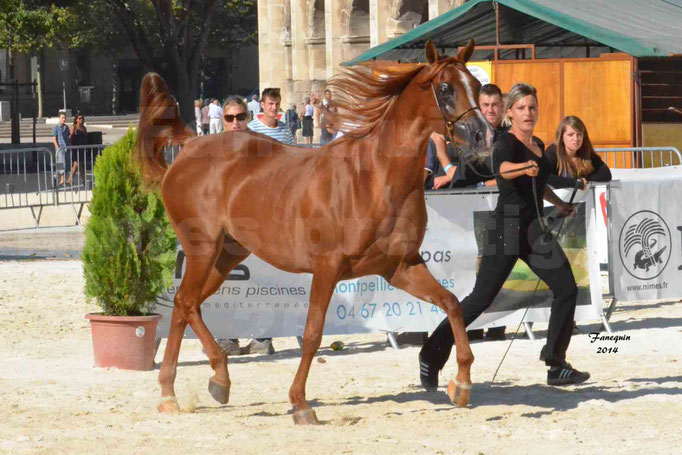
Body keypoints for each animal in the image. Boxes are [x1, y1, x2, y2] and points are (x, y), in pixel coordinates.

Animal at [135, 39, 492, 424]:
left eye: (475, 83)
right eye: (445, 88)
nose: (483, 135)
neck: (375, 178)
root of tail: (189, 146)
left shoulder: (400, 267)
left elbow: (453, 304)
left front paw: (461, 384)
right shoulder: (327, 268)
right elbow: (311, 333)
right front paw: (300, 404)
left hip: (227, 255)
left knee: (186, 307)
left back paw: (193, 386)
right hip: (202, 249)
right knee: (186, 302)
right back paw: (201, 382)